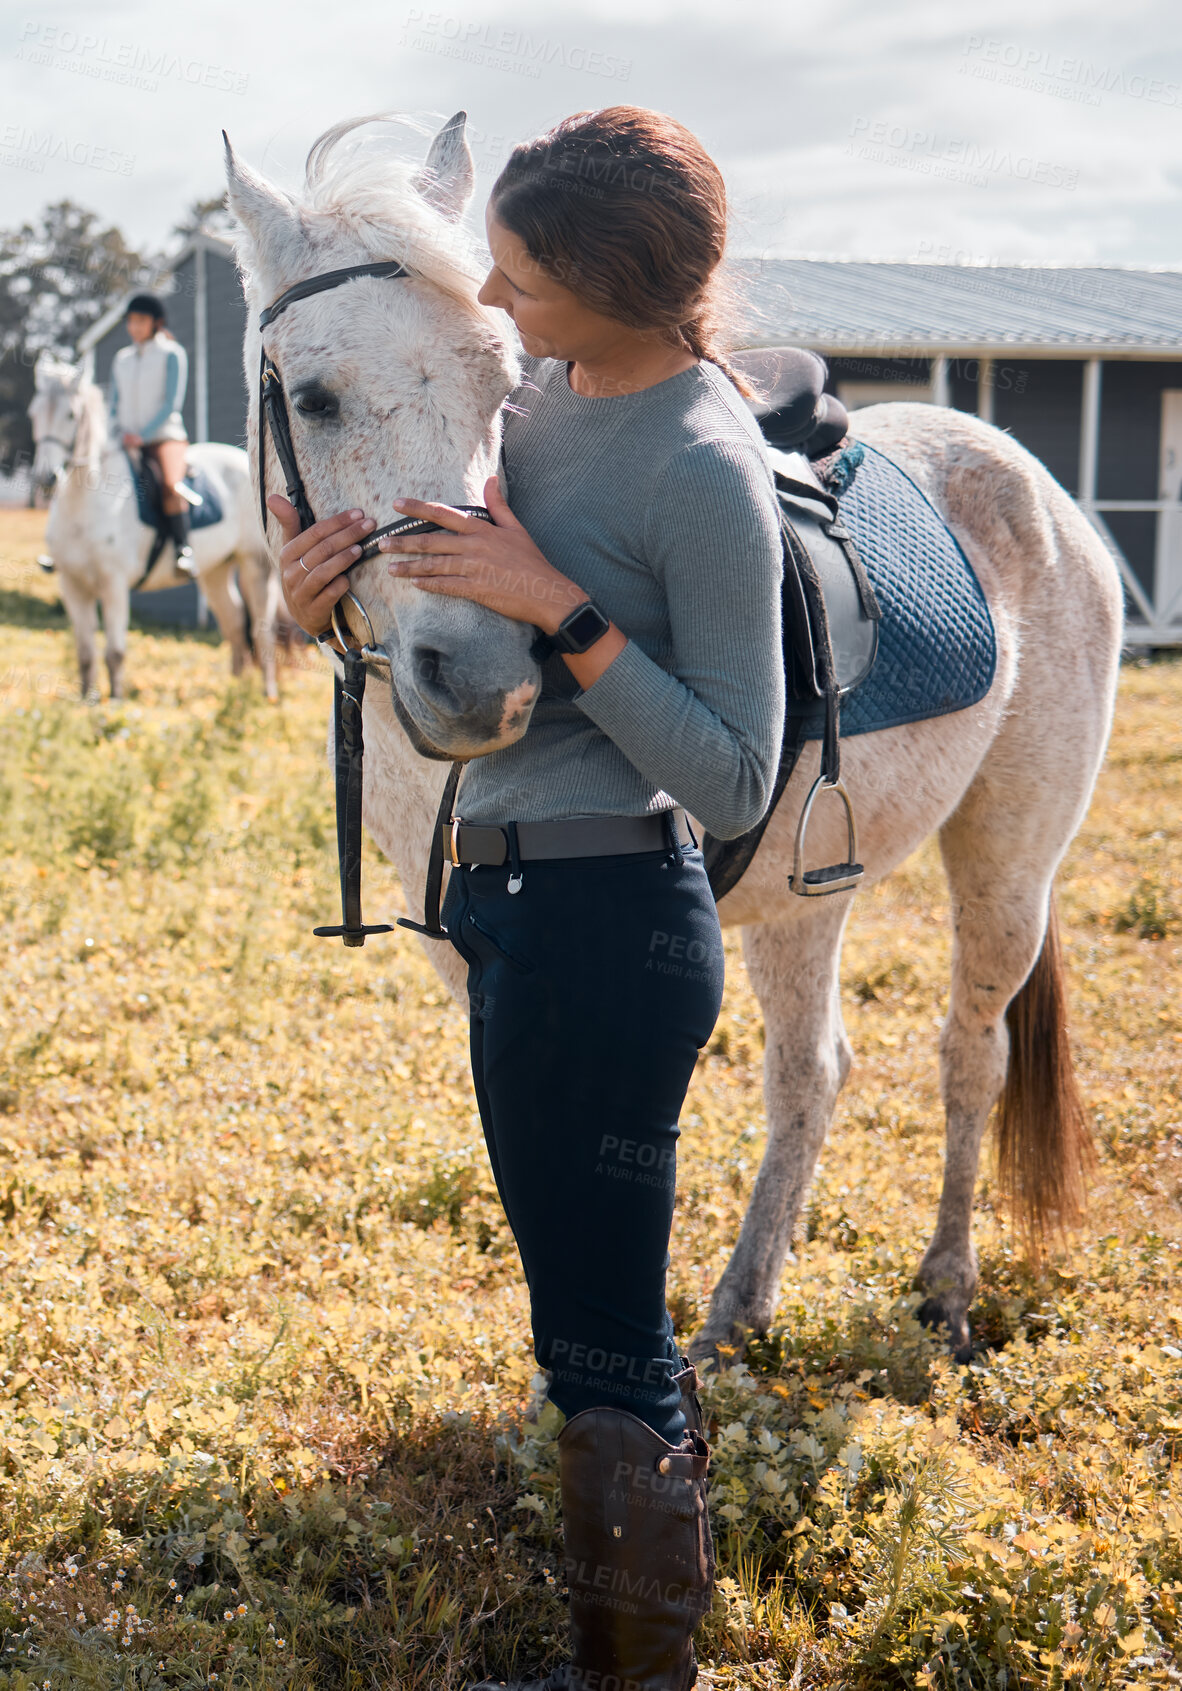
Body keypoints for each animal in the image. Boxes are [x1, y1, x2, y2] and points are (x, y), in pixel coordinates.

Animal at [29, 356, 279, 700]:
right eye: (35, 414)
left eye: (70, 415)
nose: (46, 478)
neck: (85, 504)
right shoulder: (72, 585)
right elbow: (85, 654)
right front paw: (87, 703)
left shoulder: (114, 585)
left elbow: (114, 653)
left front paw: (115, 703)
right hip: (214, 572)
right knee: (234, 624)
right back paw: (233, 691)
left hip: (256, 568)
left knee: (261, 631)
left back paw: (267, 695)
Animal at [224, 115, 1129, 1359]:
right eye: (312, 397)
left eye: (503, 385)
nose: (485, 680)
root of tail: (1028, 476)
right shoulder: (475, 966)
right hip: (810, 890)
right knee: (812, 1072)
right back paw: (740, 1306)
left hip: (1007, 867)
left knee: (967, 1054)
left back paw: (945, 1286)